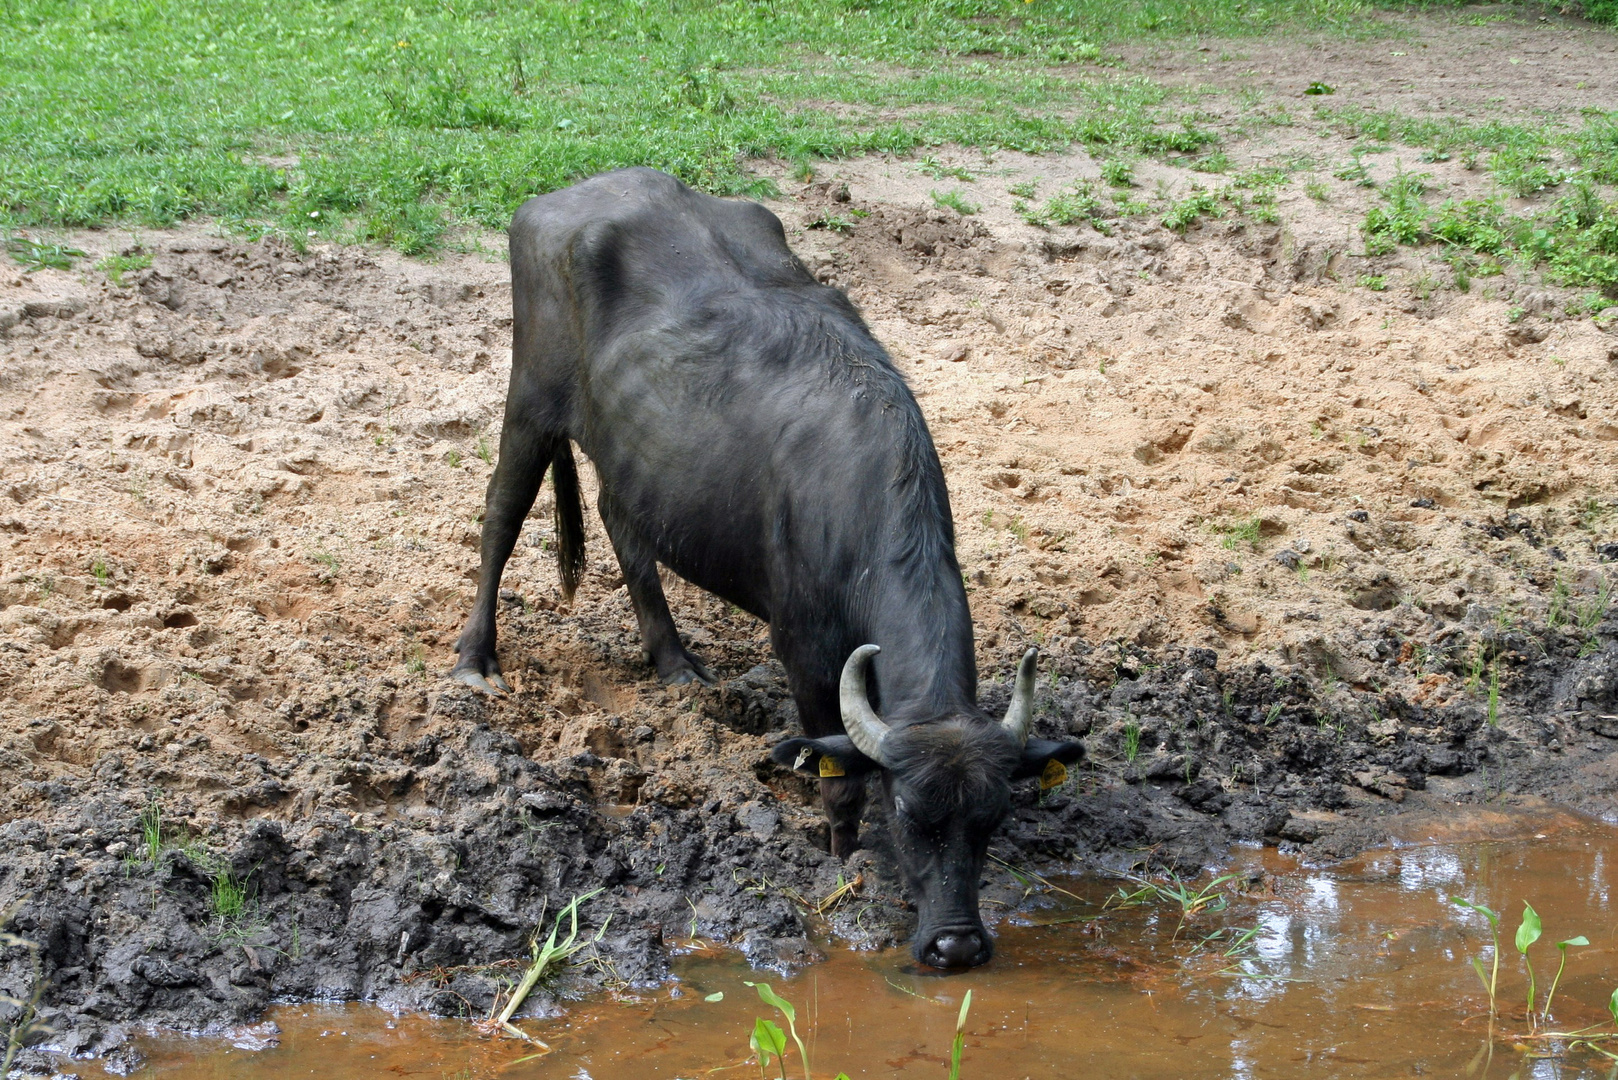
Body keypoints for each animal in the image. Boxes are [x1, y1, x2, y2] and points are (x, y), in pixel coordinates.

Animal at [456, 169, 1087, 971]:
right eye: (909, 813)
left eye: (991, 819)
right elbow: (839, 782)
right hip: (529, 399)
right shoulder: (806, 651)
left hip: (639, 460)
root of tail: (568, 196)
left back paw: (676, 665)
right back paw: (475, 661)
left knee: (621, 523)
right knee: (500, 517)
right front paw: (842, 857)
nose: (956, 944)